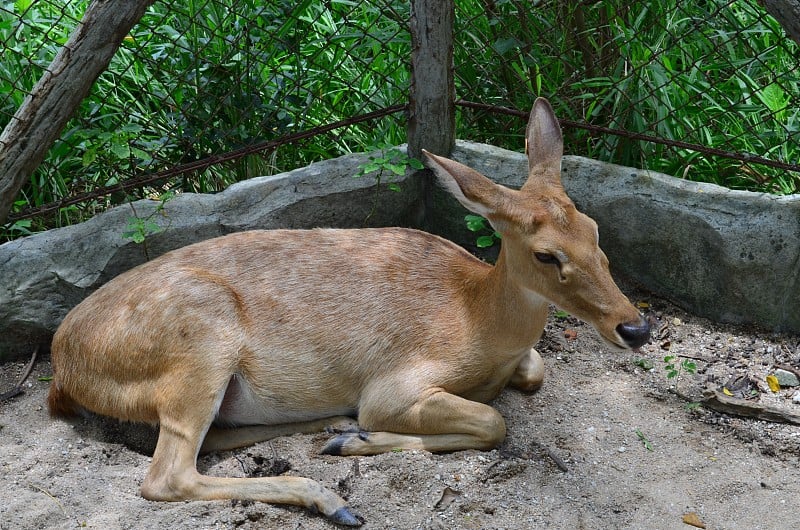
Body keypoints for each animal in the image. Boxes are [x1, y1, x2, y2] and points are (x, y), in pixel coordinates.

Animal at [47, 98, 648, 524]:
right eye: (547, 254)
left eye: (595, 230)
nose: (635, 326)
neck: (476, 319)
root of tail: (61, 369)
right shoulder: (395, 383)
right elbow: (492, 420)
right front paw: (362, 439)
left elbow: (534, 372)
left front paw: (352, 438)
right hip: (200, 341)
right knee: (165, 476)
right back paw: (330, 496)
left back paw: (329, 430)